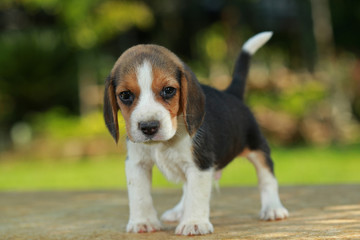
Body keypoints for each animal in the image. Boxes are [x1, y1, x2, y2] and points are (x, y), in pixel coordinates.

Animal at [104, 32, 290, 236]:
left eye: (168, 90)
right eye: (125, 95)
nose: (149, 127)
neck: (167, 141)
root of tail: (232, 94)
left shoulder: (200, 164)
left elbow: (197, 194)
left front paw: (194, 223)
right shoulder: (137, 164)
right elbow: (139, 195)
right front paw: (143, 221)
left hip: (257, 146)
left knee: (266, 176)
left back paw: (273, 208)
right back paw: (178, 211)